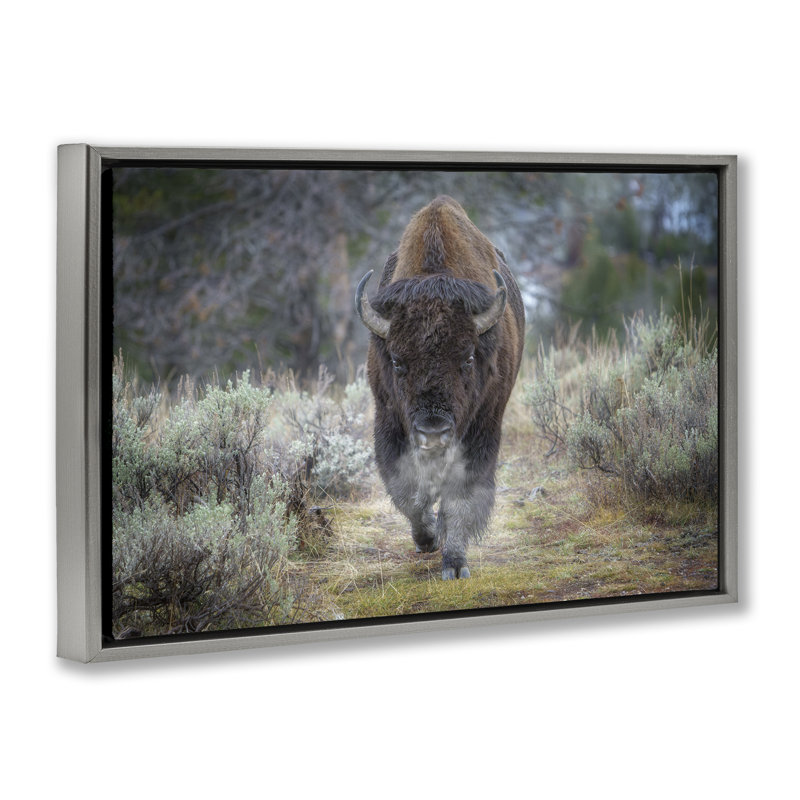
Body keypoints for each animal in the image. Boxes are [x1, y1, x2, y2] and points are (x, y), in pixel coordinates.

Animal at [356, 196, 525, 579]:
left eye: (467, 358)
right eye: (397, 361)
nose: (433, 433)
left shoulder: (482, 429)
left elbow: (461, 496)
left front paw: (455, 564)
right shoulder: (388, 421)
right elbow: (408, 492)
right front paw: (427, 539)